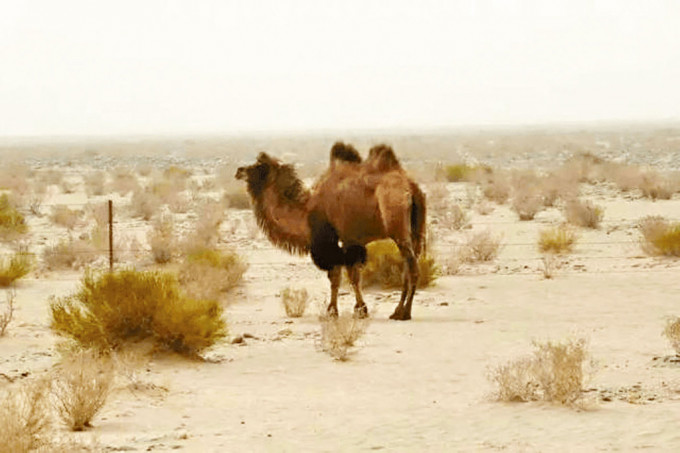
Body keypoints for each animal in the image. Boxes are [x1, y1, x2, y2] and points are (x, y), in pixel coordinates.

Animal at [234, 143, 424, 320]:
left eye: (259, 166)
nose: (239, 171)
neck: (307, 211)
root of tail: (411, 187)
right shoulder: (348, 240)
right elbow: (342, 276)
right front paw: (343, 309)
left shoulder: (332, 242)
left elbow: (343, 276)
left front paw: (349, 310)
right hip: (416, 229)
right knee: (408, 266)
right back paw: (398, 311)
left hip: (396, 221)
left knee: (412, 268)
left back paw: (404, 313)